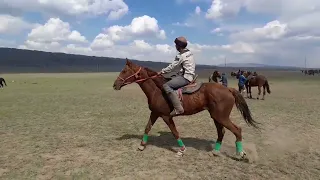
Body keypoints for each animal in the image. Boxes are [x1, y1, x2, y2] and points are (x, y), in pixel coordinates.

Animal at [114, 59, 258, 160]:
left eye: (124, 71)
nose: (115, 85)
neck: (157, 91)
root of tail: (228, 89)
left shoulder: (166, 116)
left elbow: (175, 132)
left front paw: (182, 150)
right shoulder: (155, 113)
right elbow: (147, 127)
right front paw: (142, 145)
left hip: (221, 117)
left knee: (237, 130)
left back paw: (241, 154)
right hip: (216, 116)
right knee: (221, 132)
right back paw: (215, 152)